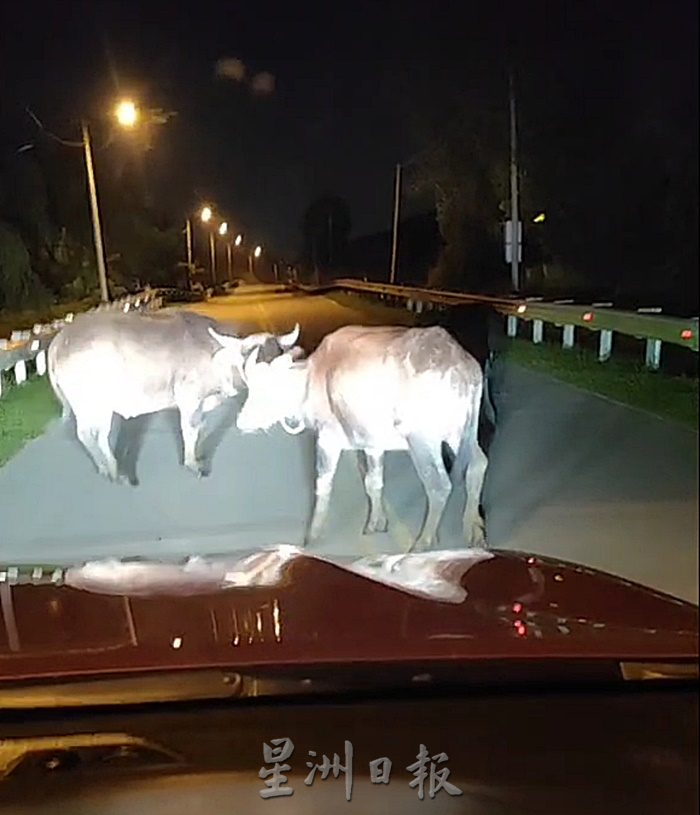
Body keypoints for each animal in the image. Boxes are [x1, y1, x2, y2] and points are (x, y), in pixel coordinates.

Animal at [47, 308, 300, 484]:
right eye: (252, 361)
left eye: (280, 360)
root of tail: (60, 340)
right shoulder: (189, 398)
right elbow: (190, 430)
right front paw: (192, 464)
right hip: (92, 404)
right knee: (89, 434)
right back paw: (113, 470)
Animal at [235, 322, 486, 552]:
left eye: (266, 388)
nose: (242, 421)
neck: (314, 378)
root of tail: (463, 366)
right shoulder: (373, 445)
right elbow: (373, 482)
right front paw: (376, 522)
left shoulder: (327, 442)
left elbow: (323, 486)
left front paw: (312, 538)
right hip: (459, 435)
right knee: (477, 464)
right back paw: (473, 530)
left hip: (423, 441)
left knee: (439, 485)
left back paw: (423, 542)